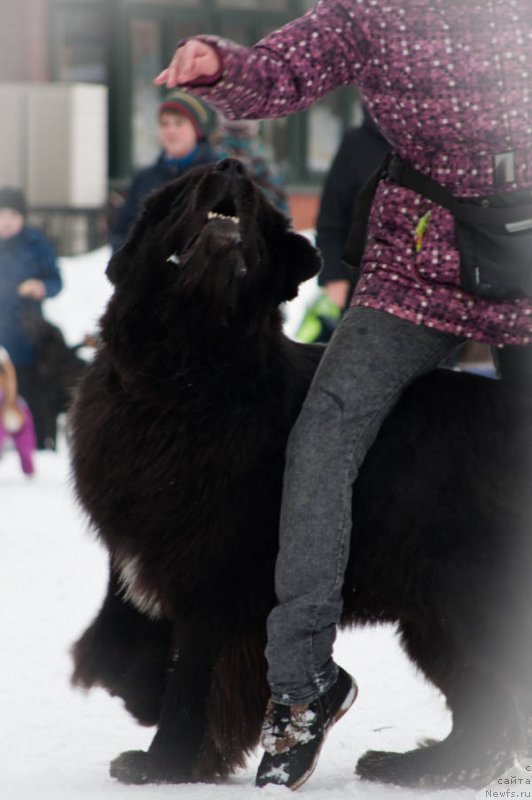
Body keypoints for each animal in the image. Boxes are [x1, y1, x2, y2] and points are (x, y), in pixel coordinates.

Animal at [69, 159, 532, 792]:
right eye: (185, 189)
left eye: (262, 213)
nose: (232, 166)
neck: (189, 378)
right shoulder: (148, 553)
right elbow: (121, 641)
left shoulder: (211, 578)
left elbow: (191, 681)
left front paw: (162, 764)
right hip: (434, 616)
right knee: (484, 705)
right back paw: (414, 766)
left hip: (463, 598)